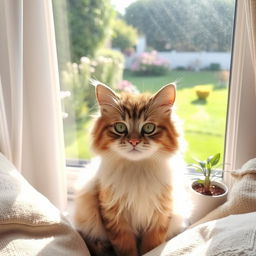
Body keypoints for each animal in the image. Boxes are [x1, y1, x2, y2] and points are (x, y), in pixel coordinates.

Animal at [74, 83, 190, 255]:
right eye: (120, 127)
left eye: (148, 128)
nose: (134, 141)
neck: (138, 169)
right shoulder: (115, 216)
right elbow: (126, 248)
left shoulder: (159, 215)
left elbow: (151, 246)